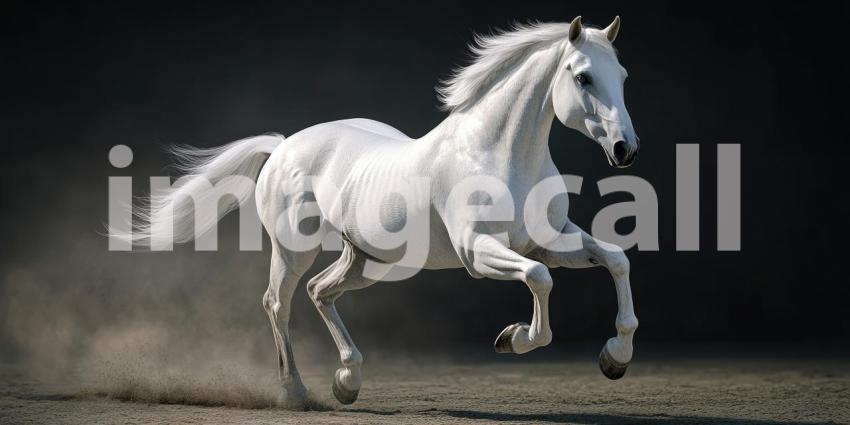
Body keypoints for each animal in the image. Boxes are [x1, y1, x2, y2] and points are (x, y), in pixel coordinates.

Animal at [117, 16, 640, 406]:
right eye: (583, 76)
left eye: (622, 77)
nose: (625, 150)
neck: (495, 154)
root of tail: (284, 145)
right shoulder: (480, 252)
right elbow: (539, 280)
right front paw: (513, 337)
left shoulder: (549, 241)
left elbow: (614, 260)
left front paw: (615, 358)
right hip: (293, 249)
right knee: (278, 302)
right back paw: (295, 392)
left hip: (371, 261)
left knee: (320, 290)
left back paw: (346, 382)